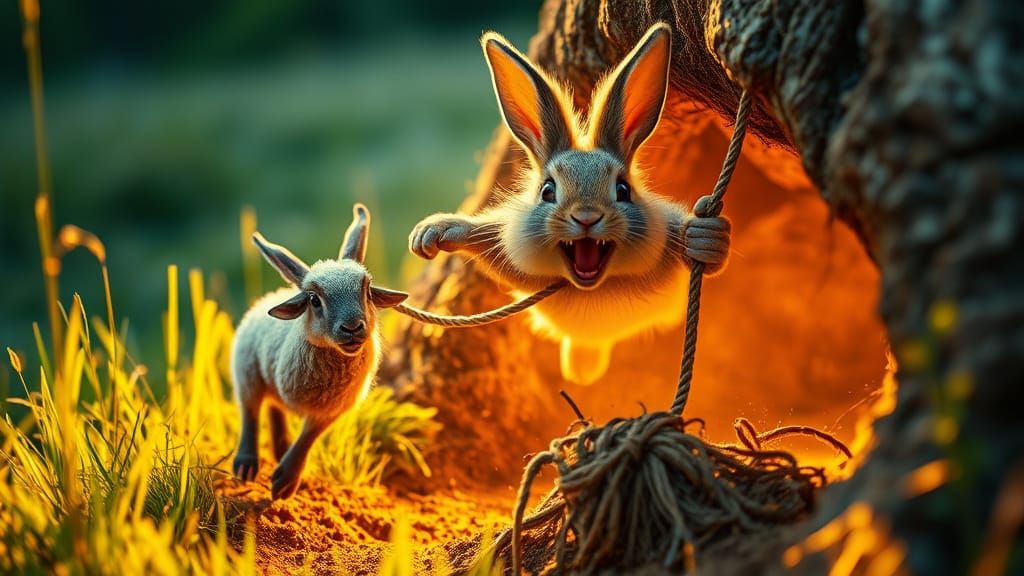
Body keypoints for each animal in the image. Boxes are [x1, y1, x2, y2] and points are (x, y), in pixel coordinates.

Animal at [231, 203, 408, 499]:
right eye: (314, 300)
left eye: (367, 292)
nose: (352, 327)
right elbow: (258, 417)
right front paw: (282, 483)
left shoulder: (331, 411)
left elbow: (308, 437)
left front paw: (284, 481)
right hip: (247, 371)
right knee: (250, 411)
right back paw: (245, 466)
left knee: (273, 408)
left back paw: (280, 450)